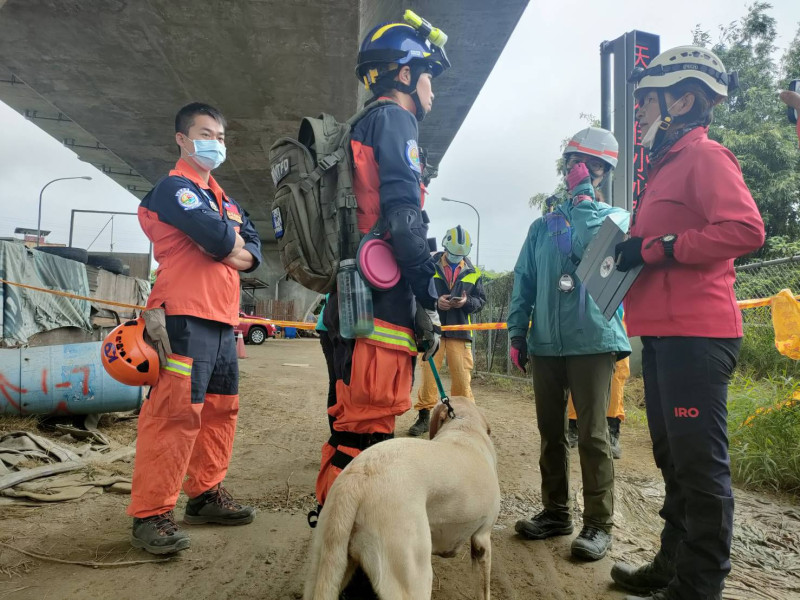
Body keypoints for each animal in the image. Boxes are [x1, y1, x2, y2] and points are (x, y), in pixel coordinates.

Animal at [304, 396, 496, 596]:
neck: (464, 427)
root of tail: (358, 478)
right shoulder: (482, 539)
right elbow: (484, 590)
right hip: (414, 574)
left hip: (325, 564)